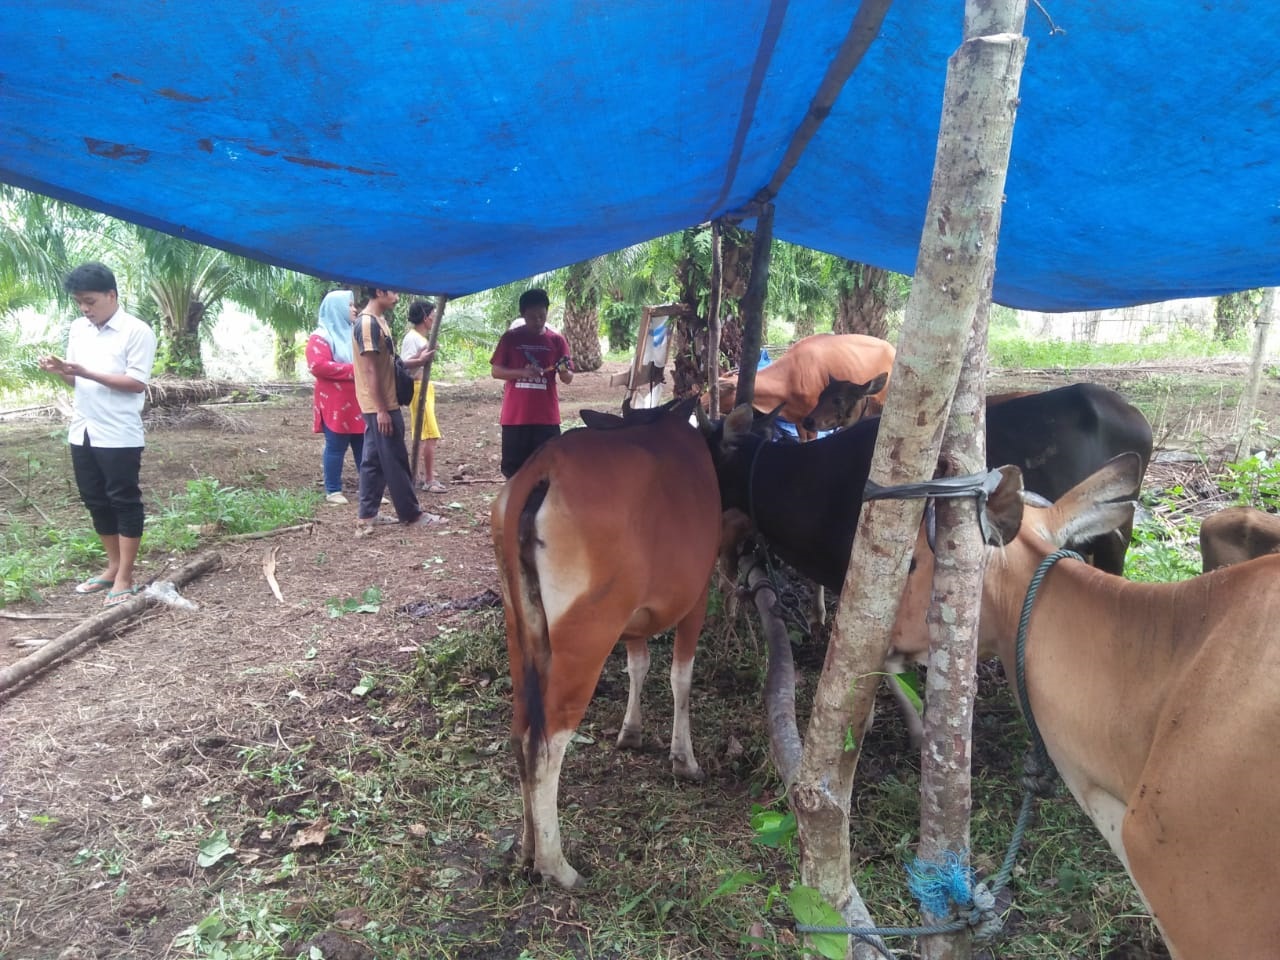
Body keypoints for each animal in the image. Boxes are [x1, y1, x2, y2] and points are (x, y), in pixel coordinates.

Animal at [488, 396, 721, 885]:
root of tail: (544, 468)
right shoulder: (697, 599)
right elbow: (681, 678)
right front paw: (684, 759)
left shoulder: (631, 621)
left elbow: (638, 665)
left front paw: (631, 733)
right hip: (586, 634)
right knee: (546, 744)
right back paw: (556, 866)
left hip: (520, 630)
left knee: (521, 734)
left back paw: (526, 849)